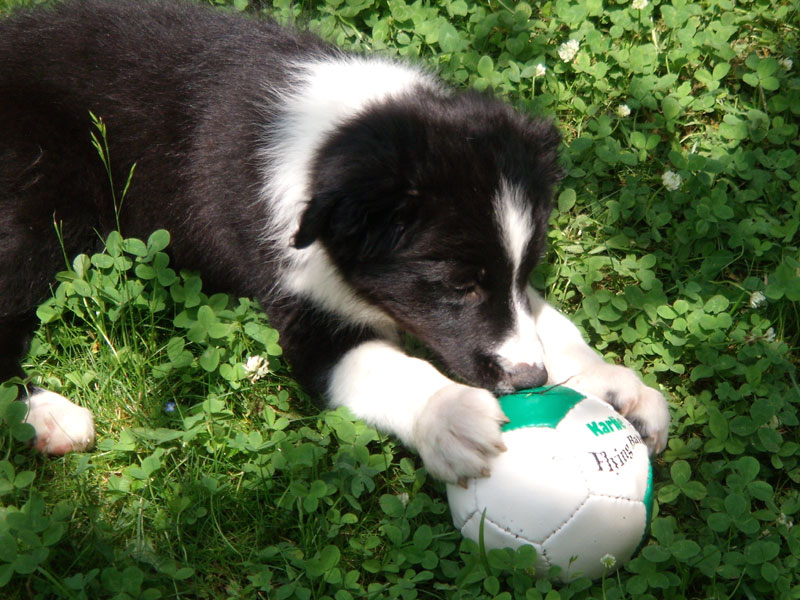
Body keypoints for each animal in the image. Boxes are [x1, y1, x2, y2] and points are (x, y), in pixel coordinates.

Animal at [0, 0, 668, 482]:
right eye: (456, 285)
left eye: (528, 270)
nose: (531, 381)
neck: (332, 137)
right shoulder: (300, 309)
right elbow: (379, 364)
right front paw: (449, 416)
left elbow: (545, 318)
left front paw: (611, 383)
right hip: (41, 204)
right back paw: (47, 415)